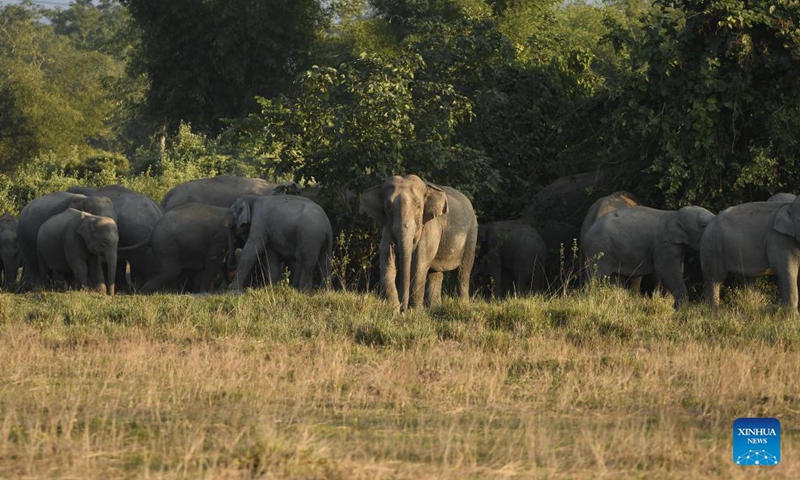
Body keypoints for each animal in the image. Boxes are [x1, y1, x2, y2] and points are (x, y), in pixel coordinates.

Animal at [360, 175, 478, 312]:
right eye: (388, 208)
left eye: (418, 207)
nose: (403, 309)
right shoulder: (387, 228)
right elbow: (387, 260)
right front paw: (393, 310)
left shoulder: (430, 226)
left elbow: (419, 264)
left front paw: (414, 312)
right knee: (435, 272)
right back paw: (434, 308)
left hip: (472, 233)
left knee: (464, 270)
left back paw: (463, 305)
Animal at [580, 206, 716, 308]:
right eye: (703, 225)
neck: (675, 215)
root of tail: (586, 232)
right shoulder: (664, 245)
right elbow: (667, 271)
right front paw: (679, 308)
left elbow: (675, 270)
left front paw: (669, 305)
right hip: (599, 249)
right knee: (598, 277)